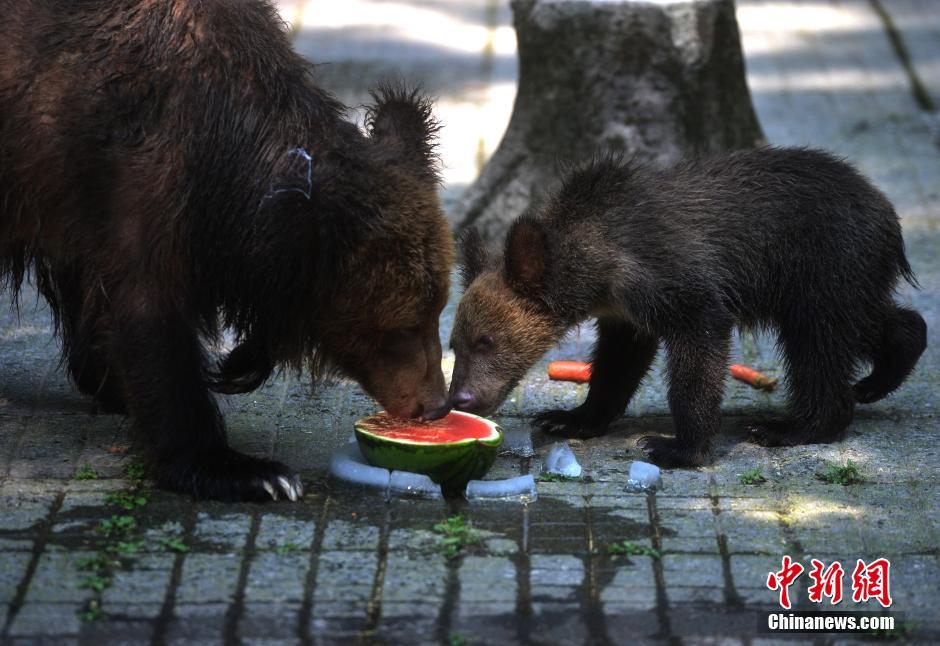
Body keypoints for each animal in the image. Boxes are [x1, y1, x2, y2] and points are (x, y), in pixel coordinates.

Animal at [0, 0, 456, 502]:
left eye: (436, 310)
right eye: (400, 328)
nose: (436, 405)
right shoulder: (141, 179)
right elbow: (151, 322)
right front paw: (248, 470)